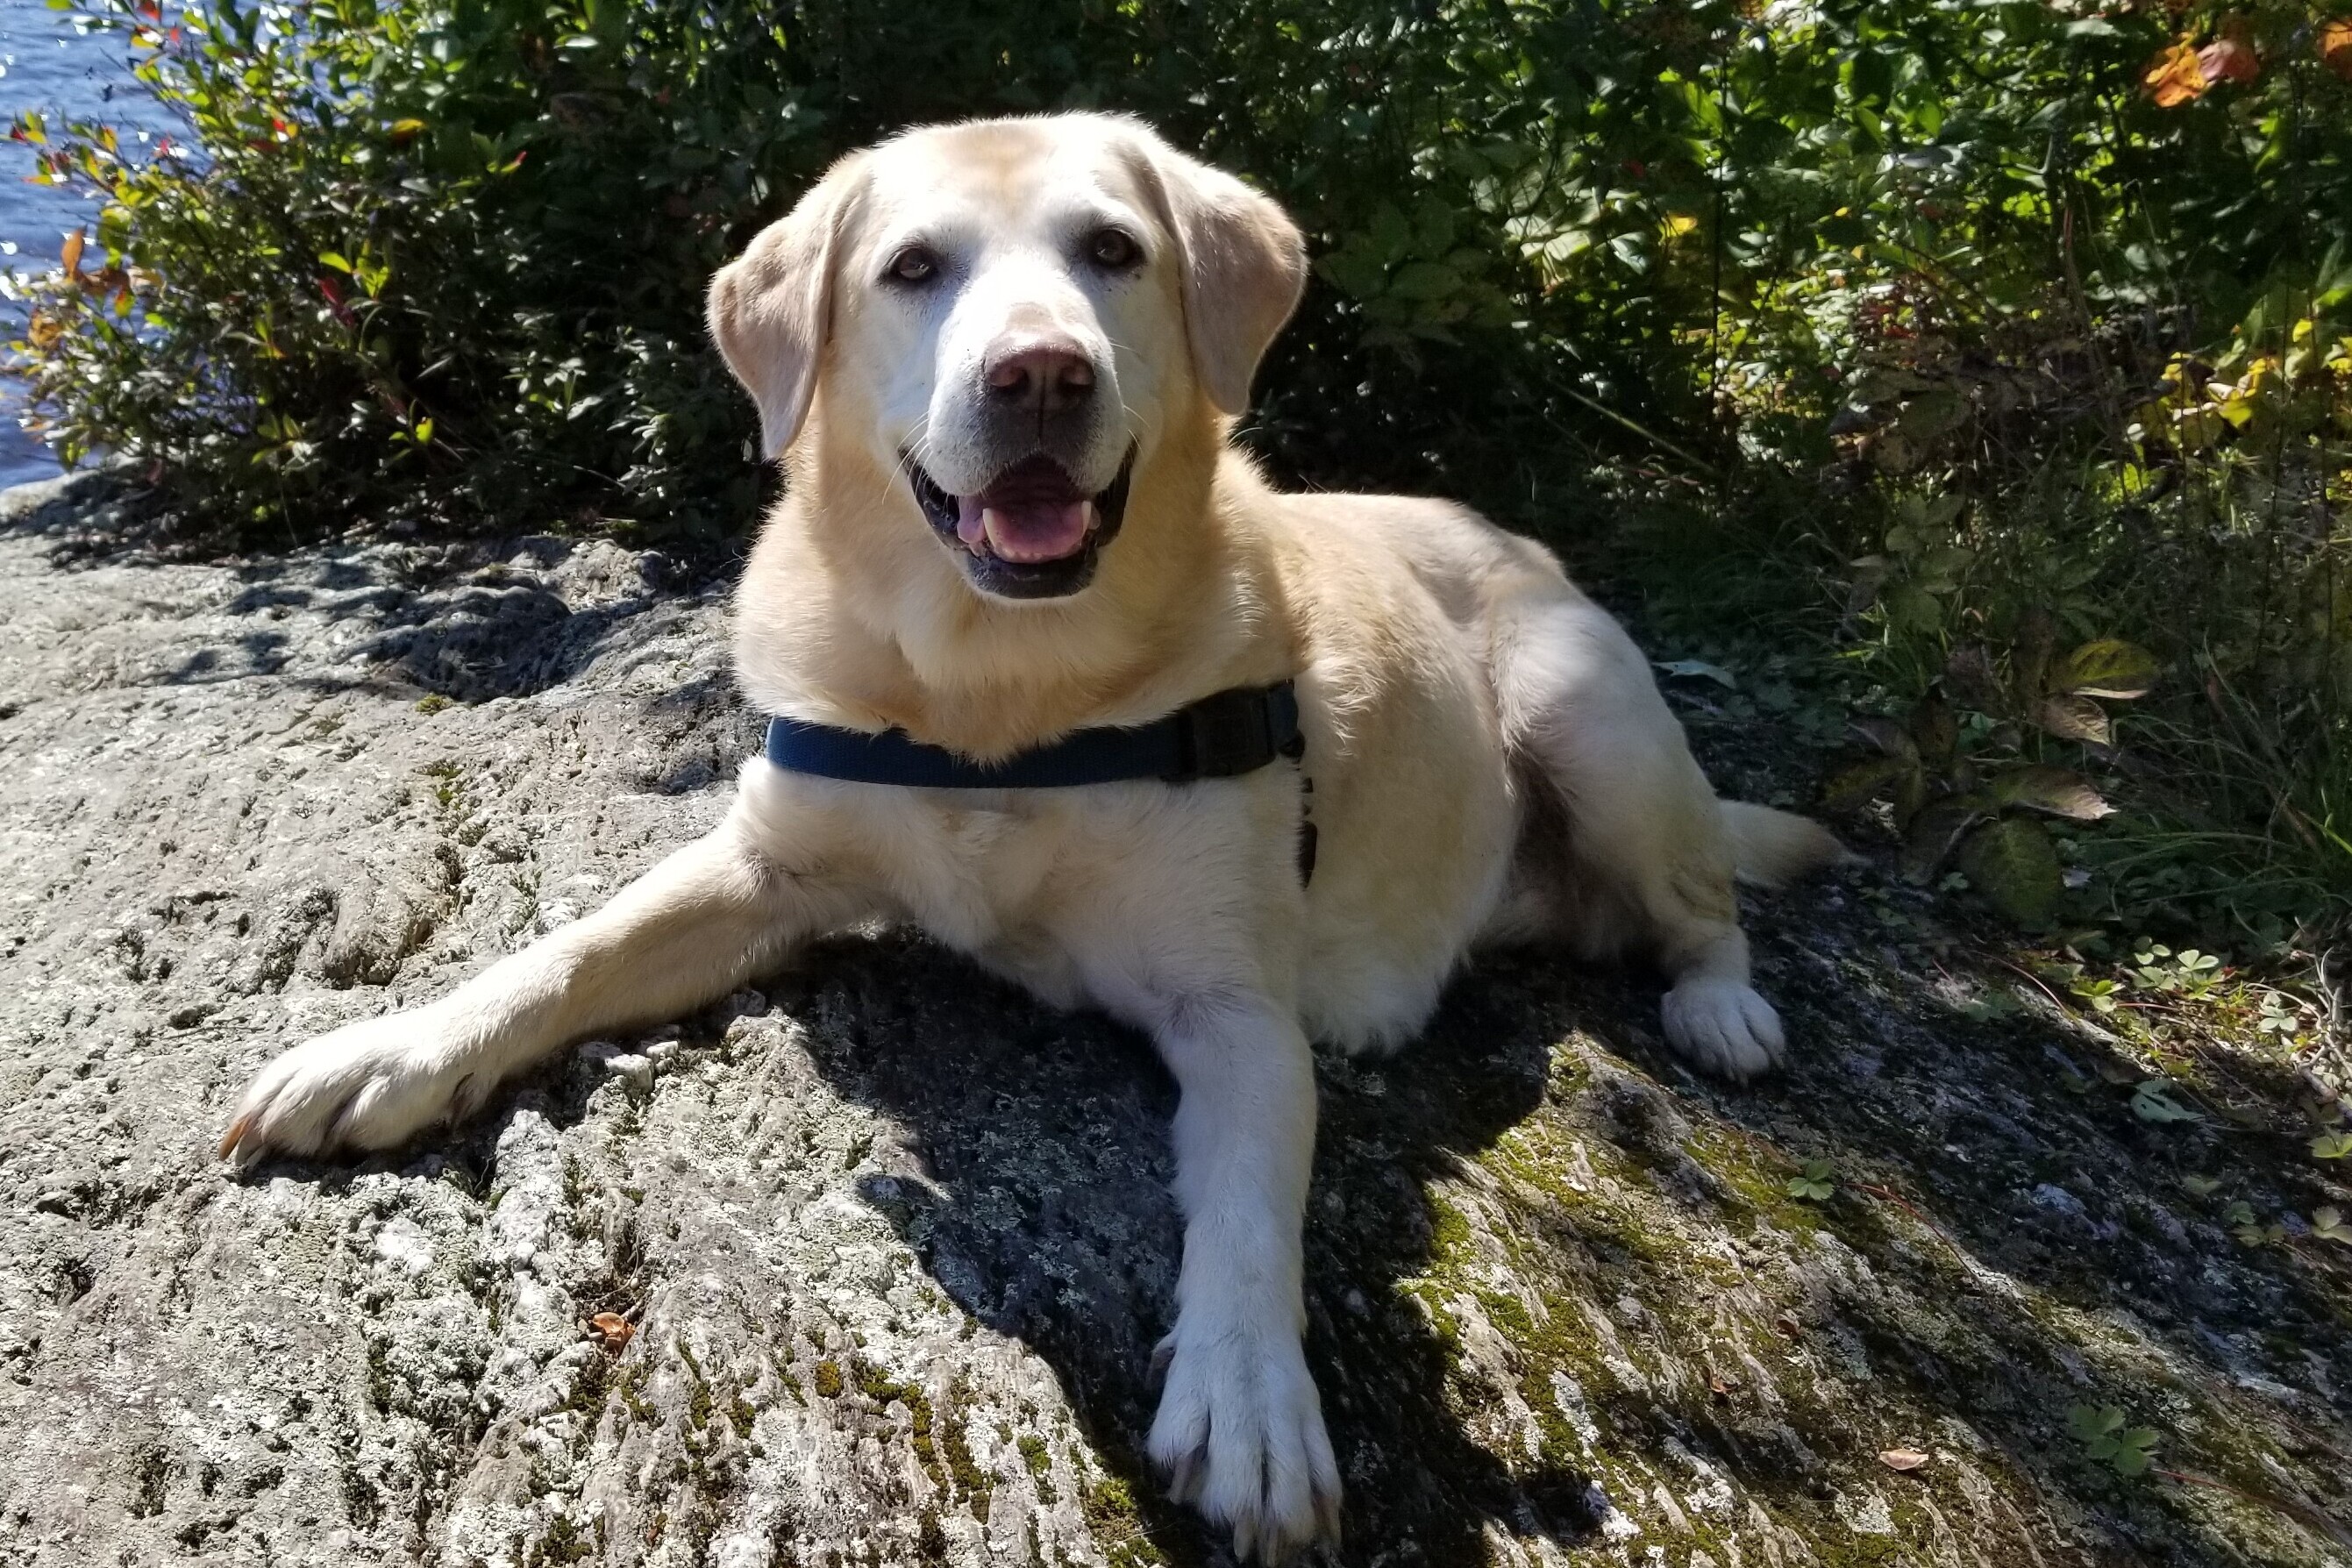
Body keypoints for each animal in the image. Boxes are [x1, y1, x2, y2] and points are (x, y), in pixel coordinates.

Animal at [221, 116, 1834, 1560]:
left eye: (1112, 251)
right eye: (912, 267)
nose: (1041, 371)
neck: (998, 690)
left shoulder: (1235, 1009)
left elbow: (1252, 1208)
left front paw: (1250, 1395)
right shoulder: (764, 864)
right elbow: (575, 946)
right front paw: (393, 1047)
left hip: (1586, 712)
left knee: (1703, 904)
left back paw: (1723, 1008)